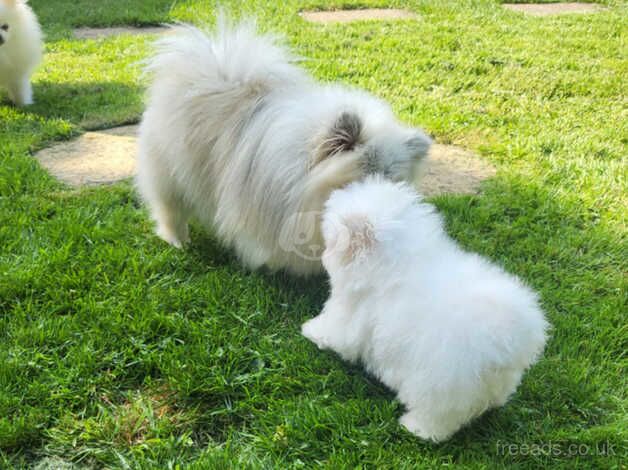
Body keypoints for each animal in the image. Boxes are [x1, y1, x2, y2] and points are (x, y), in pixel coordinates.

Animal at [302, 177, 548, 444]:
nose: (323, 251)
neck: (397, 261)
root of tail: (508, 339)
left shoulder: (350, 314)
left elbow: (334, 331)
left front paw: (310, 330)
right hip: (498, 380)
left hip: (438, 381)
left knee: (438, 416)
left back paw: (415, 428)